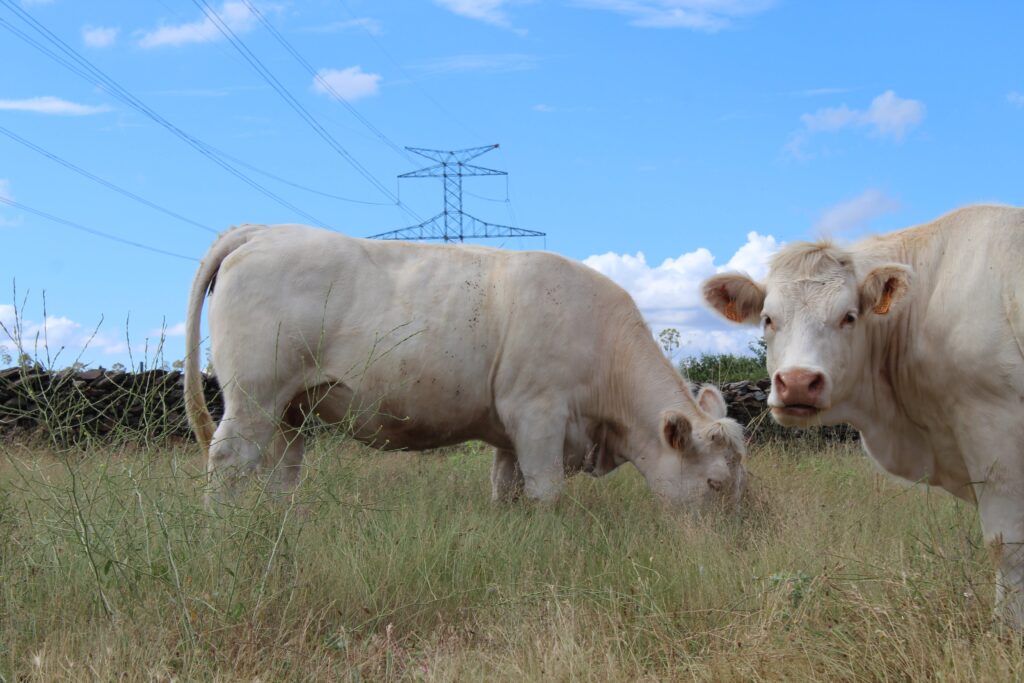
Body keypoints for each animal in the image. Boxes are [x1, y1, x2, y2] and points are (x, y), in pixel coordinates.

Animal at [186, 224, 745, 507]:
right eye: (716, 483)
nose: (736, 541)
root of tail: (266, 230)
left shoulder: (510, 430)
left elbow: (506, 489)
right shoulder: (538, 413)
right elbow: (546, 491)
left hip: (291, 410)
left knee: (281, 472)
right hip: (254, 395)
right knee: (229, 461)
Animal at [708, 205, 1024, 626]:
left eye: (849, 316)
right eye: (768, 318)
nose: (798, 382)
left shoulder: (994, 427)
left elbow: (1006, 545)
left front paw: (1006, 633)